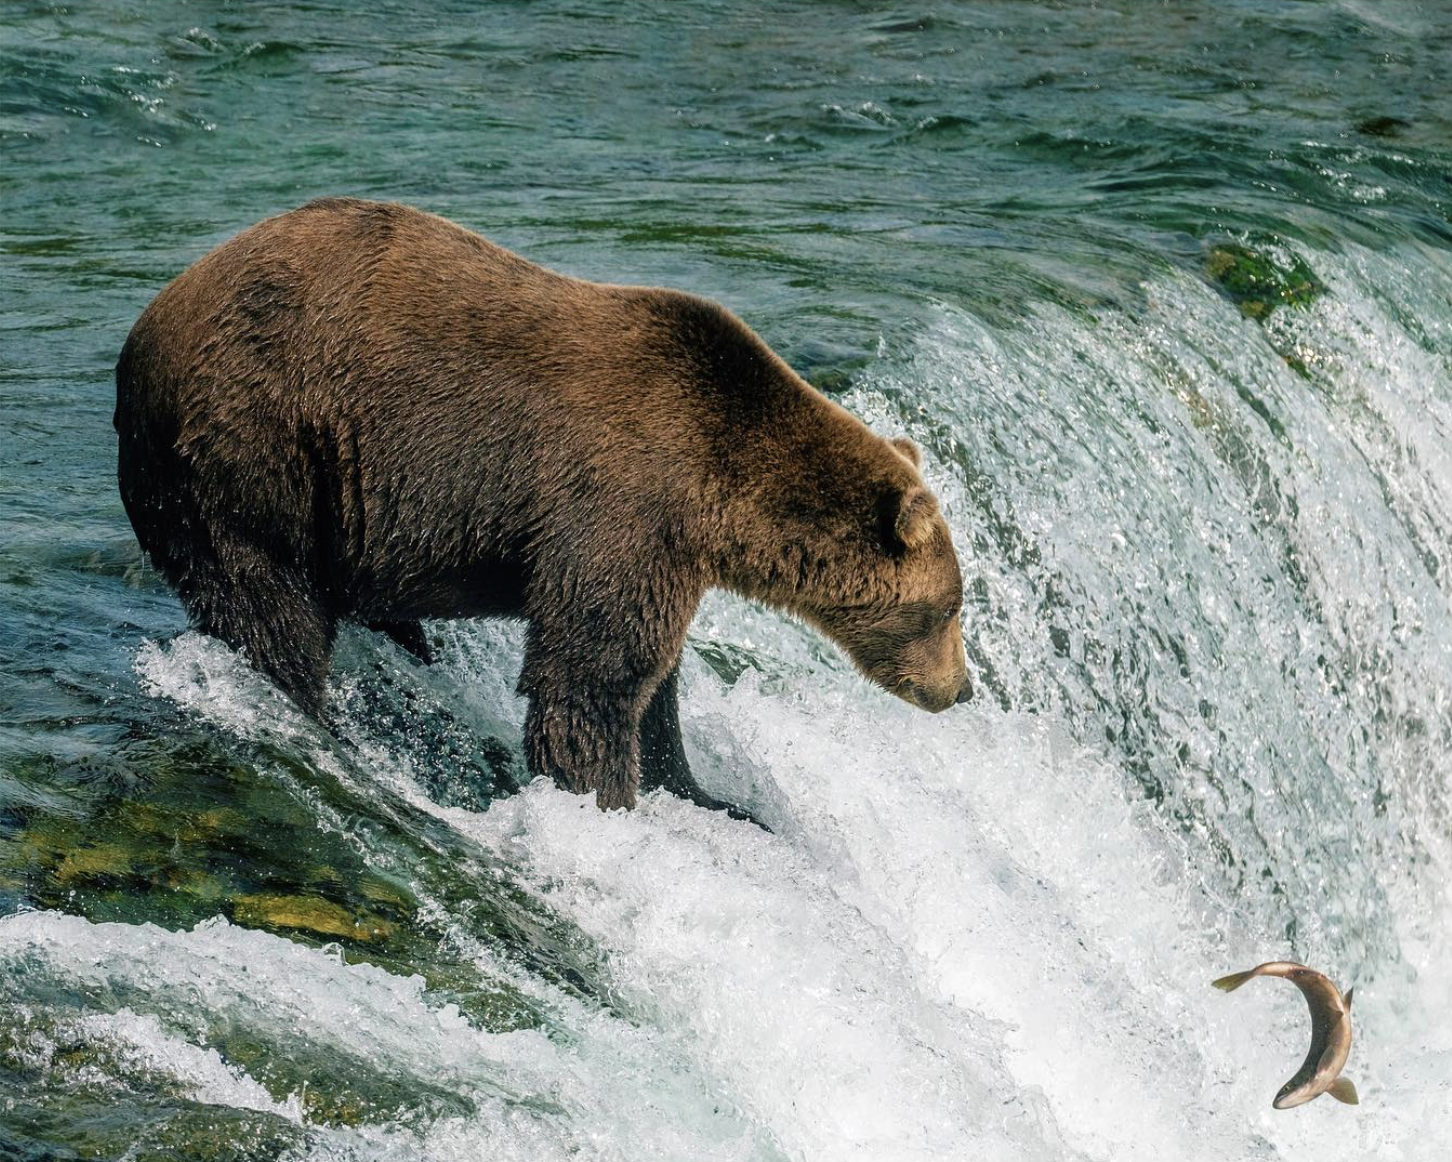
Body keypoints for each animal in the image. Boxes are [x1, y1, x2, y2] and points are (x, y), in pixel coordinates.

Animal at [115, 198, 972, 813]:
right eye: (950, 608)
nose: (960, 691)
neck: (719, 493)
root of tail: (146, 334)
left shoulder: (666, 553)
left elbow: (654, 680)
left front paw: (705, 793)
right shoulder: (620, 507)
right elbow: (590, 676)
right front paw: (602, 796)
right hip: (259, 444)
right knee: (270, 606)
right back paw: (322, 725)